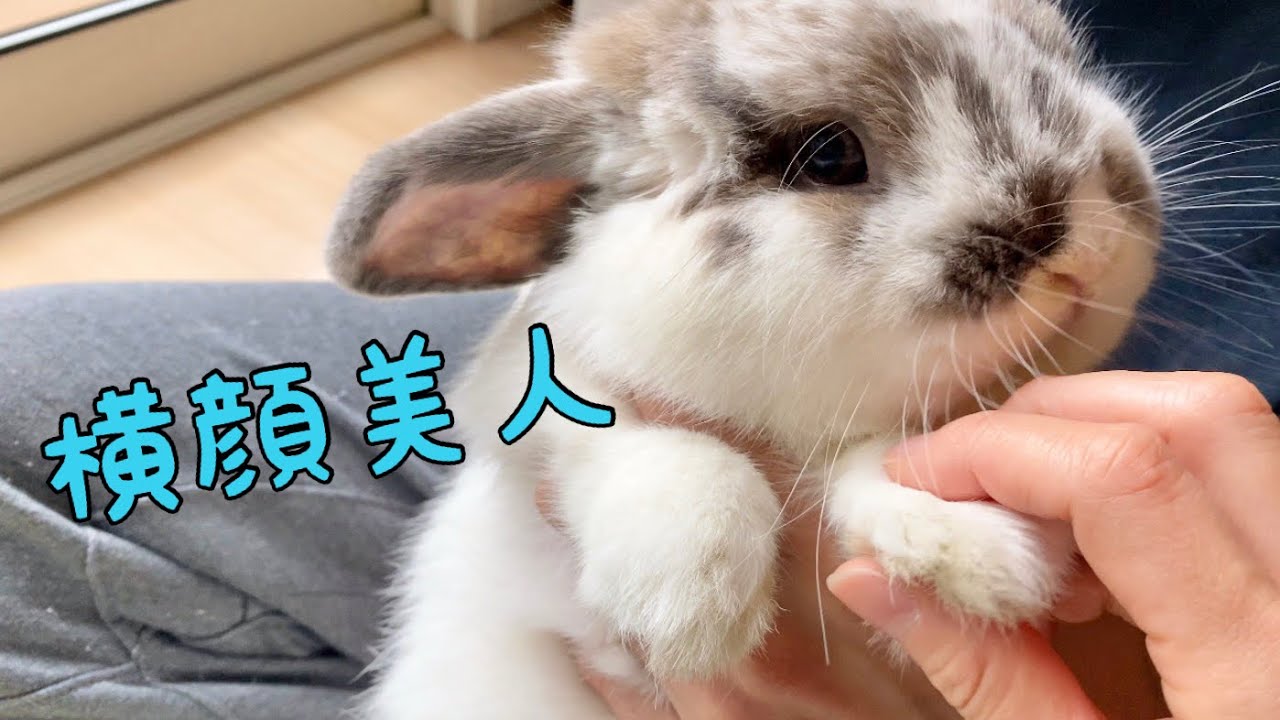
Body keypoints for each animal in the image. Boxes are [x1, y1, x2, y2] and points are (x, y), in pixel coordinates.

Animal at [325, 0, 1163, 717]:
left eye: (1060, 60)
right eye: (828, 154)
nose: (1079, 248)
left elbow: (898, 454)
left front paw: (970, 549)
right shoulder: (536, 397)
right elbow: (659, 447)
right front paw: (688, 602)